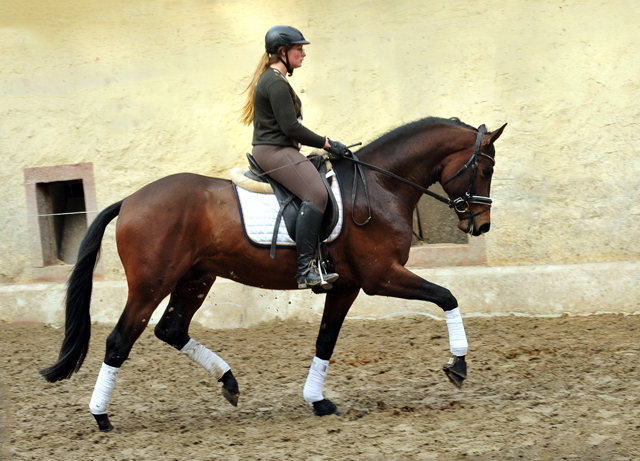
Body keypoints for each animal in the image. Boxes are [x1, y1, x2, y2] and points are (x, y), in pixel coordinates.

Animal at [42, 116, 508, 432]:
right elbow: (447, 296)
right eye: (484, 168)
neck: (380, 186)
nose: (481, 225)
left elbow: (325, 340)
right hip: (150, 284)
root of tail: (130, 200)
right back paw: (101, 416)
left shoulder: (348, 285)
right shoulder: (382, 277)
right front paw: (458, 365)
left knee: (171, 329)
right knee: (120, 341)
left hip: (195, 279)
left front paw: (317, 400)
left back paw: (229, 382)